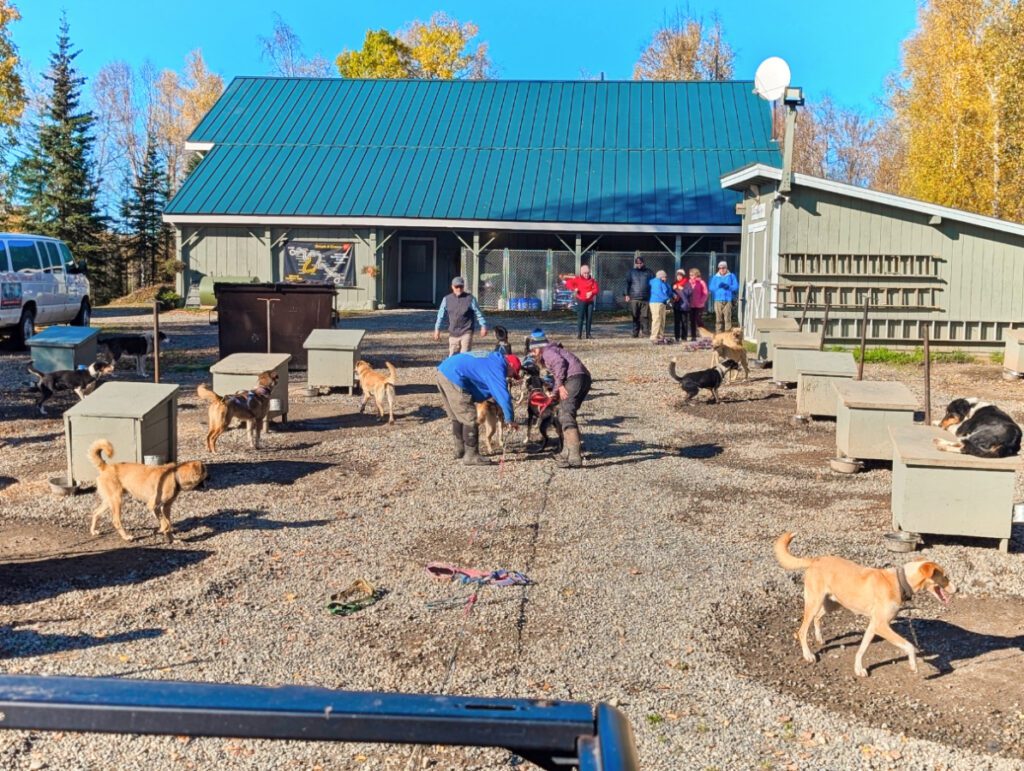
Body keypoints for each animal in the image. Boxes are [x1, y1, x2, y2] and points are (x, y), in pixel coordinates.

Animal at [774, 532, 950, 675]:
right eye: (945, 576)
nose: (956, 589)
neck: (900, 581)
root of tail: (816, 559)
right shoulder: (881, 625)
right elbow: (909, 646)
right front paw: (914, 665)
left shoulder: (874, 625)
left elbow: (862, 649)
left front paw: (858, 668)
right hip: (814, 603)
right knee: (802, 631)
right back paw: (808, 655)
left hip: (833, 603)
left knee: (817, 618)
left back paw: (819, 638)